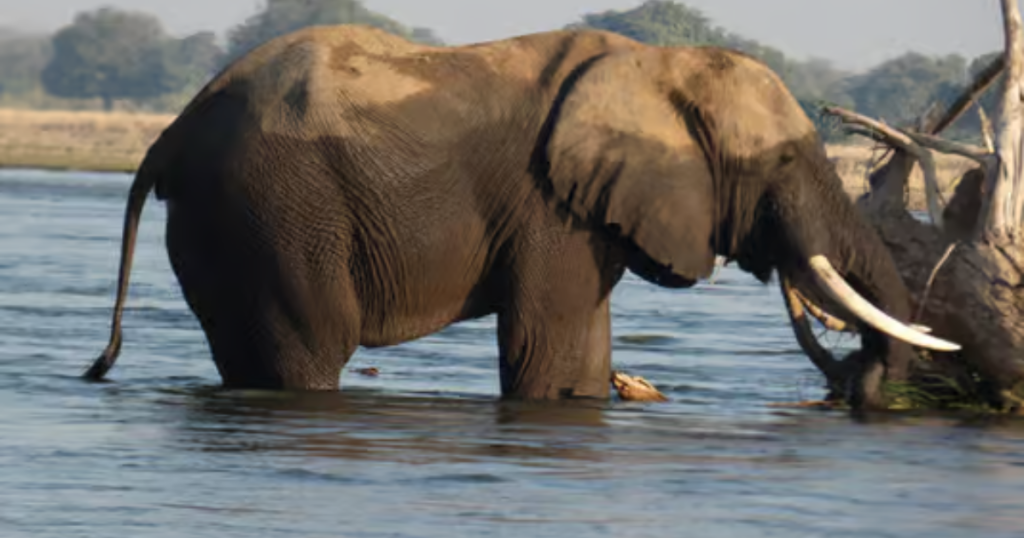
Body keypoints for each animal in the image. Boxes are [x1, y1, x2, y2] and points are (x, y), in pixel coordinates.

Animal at [83, 25, 959, 408]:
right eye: (782, 163)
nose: (860, 382)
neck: (654, 63)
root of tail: (173, 131)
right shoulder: (550, 207)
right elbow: (547, 350)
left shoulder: (586, 212)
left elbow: (581, 356)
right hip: (276, 212)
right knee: (310, 350)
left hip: (228, 222)